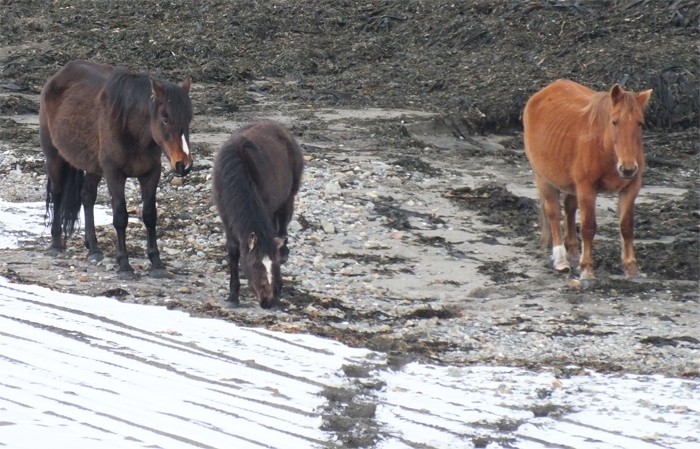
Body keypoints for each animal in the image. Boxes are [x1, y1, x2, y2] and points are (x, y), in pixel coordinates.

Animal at [39, 59, 193, 276]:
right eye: (165, 118)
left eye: (189, 118)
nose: (183, 164)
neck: (132, 130)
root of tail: (57, 77)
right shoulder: (114, 174)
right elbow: (120, 216)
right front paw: (124, 264)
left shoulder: (150, 174)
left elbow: (150, 215)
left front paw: (156, 263)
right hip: (54, 157)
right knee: (57, 193)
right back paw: (56, 243)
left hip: (93, 166)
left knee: (87, 196)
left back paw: (93, 249)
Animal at [212, 121, 302, 308]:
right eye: (254, 264)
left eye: (273, 263)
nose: (267, 301)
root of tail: (279, 128)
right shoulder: (226, 219)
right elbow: (233, 250)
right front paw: (233, 296)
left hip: (288, 199)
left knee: (283, 227)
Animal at [524, 79, 652, 278]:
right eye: (614, 122)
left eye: (640, 123)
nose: (628, 168)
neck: (606, 149)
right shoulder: (586, 189)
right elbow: (588, 227)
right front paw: (587, 269)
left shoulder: (631, 188)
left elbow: (626, 226)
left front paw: (632, 268)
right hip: (543, 179)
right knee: (554, 213)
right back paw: (561, 259)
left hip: (570, 185)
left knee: (569, 209)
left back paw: (573, 252)